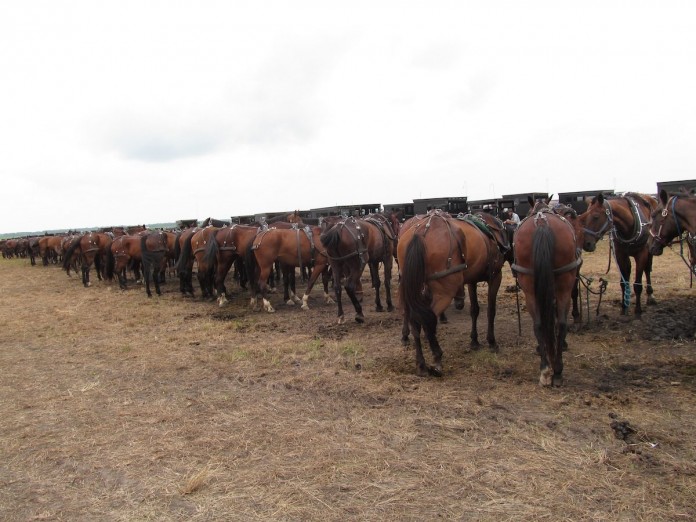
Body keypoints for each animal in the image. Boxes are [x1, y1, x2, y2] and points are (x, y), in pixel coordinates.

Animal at [397, 210, 505, 377]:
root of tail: (420, 233)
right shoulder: (495, 277)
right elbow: (491, 311)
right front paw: (491, 342)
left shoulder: (472, 280)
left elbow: (475, 310)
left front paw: (474, 341)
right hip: (444, 293)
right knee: (426, 321)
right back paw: (437, 359)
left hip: (409, 288)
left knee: (414, 320)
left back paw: (420, 364)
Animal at [512, 197, 583, 386]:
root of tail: (542, 223)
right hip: (563, 283)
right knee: (558, 322)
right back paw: (554, 370)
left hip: (531, 286)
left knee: (542, 324)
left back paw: (547, 369)